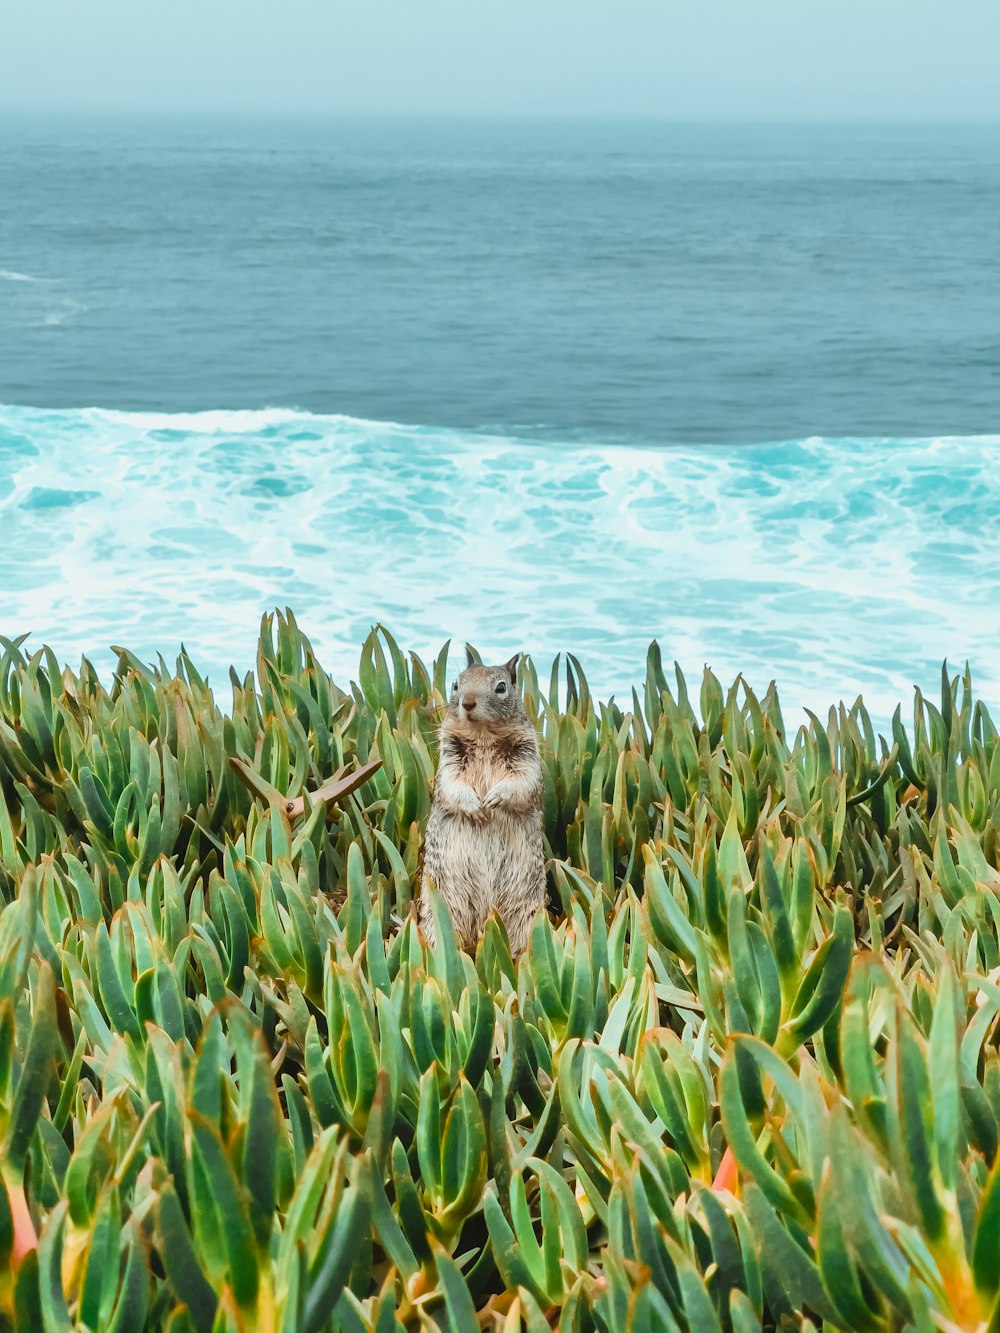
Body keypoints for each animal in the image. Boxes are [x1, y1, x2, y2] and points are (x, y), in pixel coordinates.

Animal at [421, 647, 552, 954]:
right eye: (456, 684)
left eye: (501, 687)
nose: (467, 703)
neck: (483, 736)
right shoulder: (449, 760)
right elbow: (453, 786)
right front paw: (475, 807)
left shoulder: (528, 757)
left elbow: (523, 782)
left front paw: (495, 798)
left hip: (527, 912)